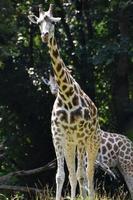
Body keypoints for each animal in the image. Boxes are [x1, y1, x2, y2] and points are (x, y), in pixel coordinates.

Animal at [28, 3, 101, 200]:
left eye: (53, 22)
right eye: (38, 23)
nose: (45, 35)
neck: (66, 96)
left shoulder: (81, 136)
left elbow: (82, 174)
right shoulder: (58, 136)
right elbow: (61, 175)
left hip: (92, 142)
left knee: (89, 173)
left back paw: (90, 196)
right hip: (71, 144)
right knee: (74, 173)